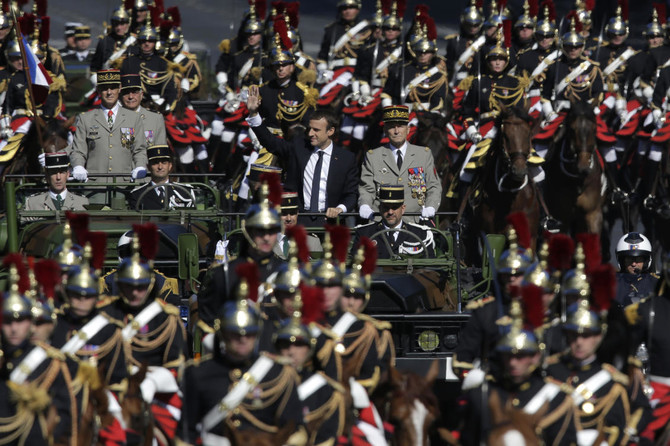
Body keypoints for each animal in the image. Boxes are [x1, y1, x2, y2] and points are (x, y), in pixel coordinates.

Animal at [544, 100, 608, 237]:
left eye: (594, 129)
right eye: (572, 130)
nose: (583, 167)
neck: (577, 182)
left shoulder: (593, 214)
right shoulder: (561, 218)